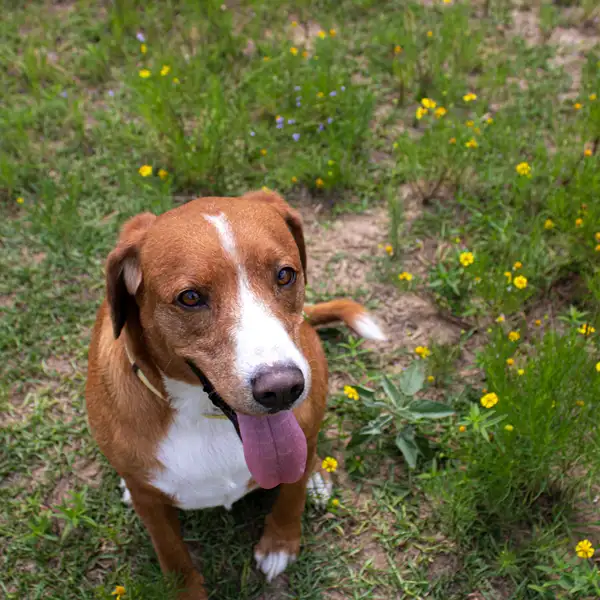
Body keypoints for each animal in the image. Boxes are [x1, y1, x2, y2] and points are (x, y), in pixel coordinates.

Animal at [85, 190, 384, 596]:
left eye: (285, 275)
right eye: (190, 297)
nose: (282, 389)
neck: (204, 417)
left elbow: (291, 493)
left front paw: (280, 543)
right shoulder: (154, 511)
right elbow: (172, 554)